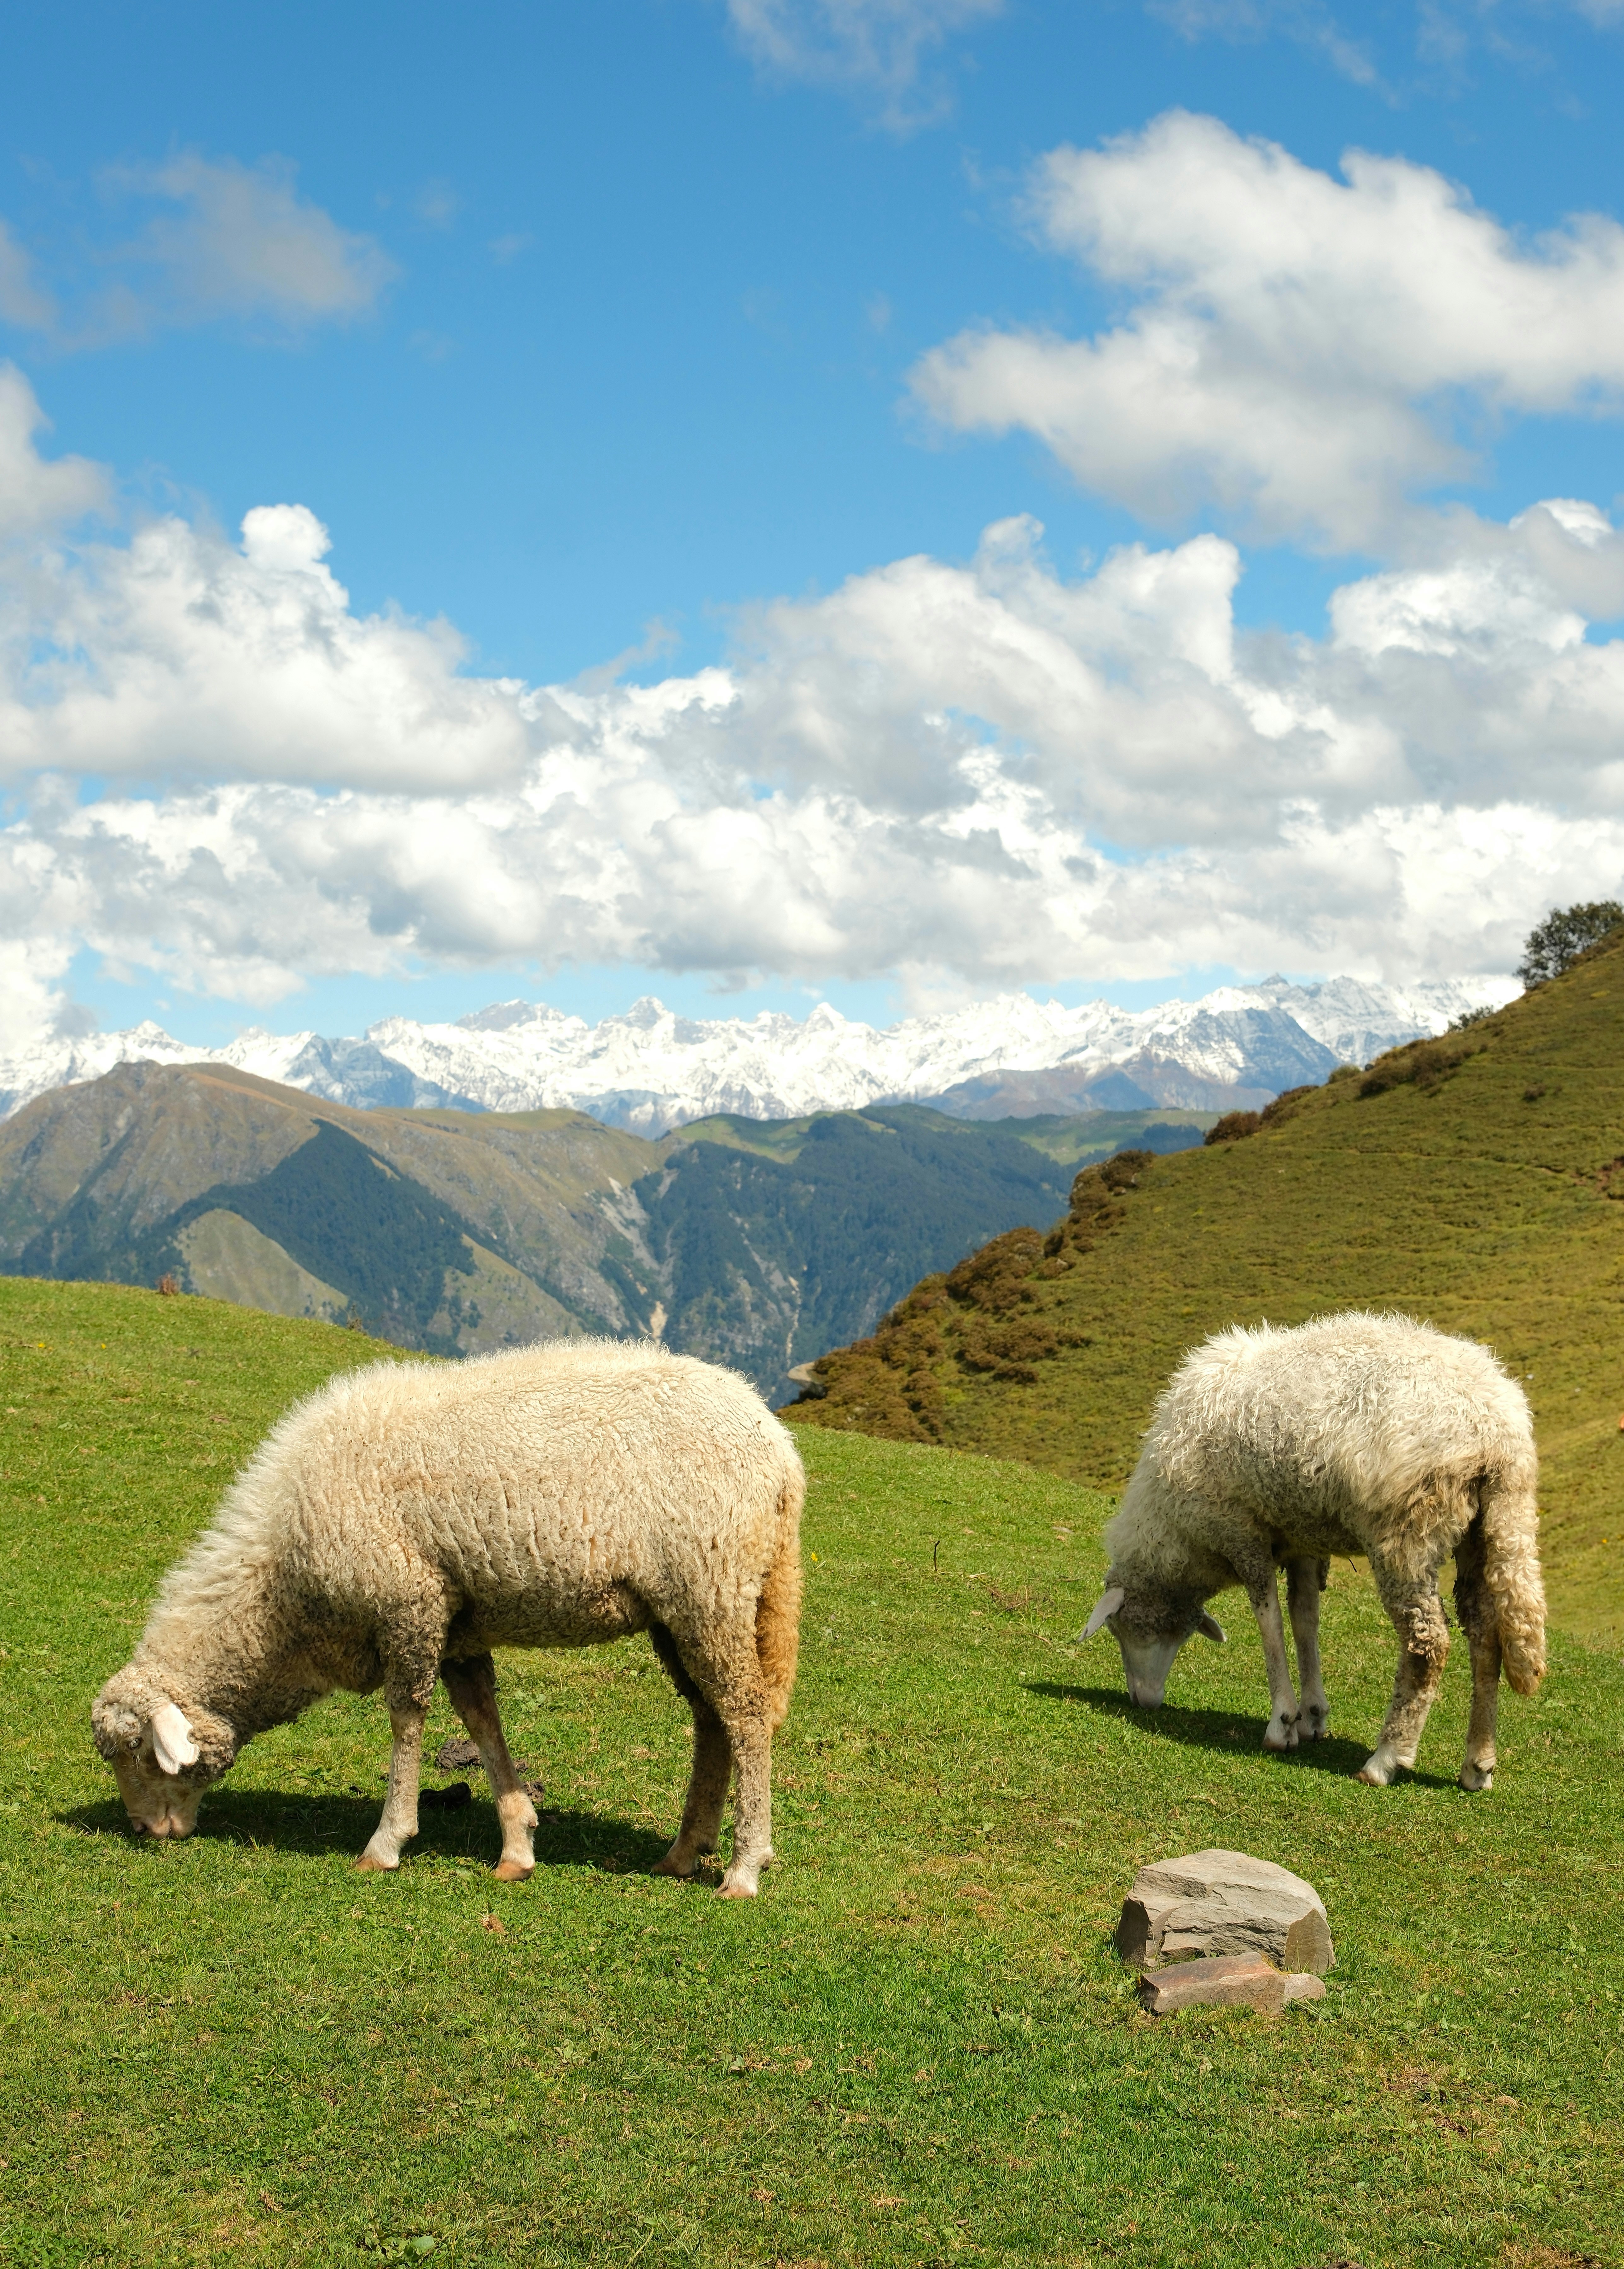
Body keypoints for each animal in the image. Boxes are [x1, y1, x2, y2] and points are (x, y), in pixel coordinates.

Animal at [91, 1339, 804, 1897]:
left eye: (142, 1754)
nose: (145, 1830)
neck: (280, 1596)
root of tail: (780, 1450)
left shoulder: (409, 1601)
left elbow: (406, 1718)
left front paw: (387, 1841)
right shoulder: (459, 1624)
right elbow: (482, 1722)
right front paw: (517, 1845)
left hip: (710, 1586)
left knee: (745, 1713)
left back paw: (744, 1865)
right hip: (678, 1610)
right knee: (711, 1717)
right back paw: (684, 1852)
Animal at [1080, 1312, 1546, 1790]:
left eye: (1118, 1628)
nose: (1143, 1701)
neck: (1176, 1532)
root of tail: (1497, 1432)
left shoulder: (1239, 1532)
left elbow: (1268, 1619)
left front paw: (1282, 1722)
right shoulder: (1301, 1539)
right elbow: (1304, 1618)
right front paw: (1312, 1716)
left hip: (1406, 1533)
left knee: (1428, 1644)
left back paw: (1386, 1758)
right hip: (1484, 1530)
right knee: (1485, 1637)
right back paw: (1478, 1762)